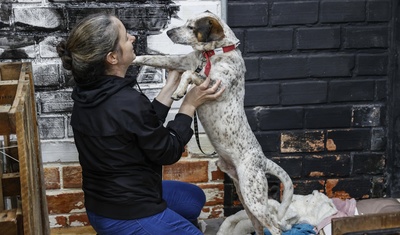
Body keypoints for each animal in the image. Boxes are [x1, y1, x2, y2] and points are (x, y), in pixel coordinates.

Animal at [134, 10, 294, 234]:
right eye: (186, 22)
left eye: (192, 27)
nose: (169, 32)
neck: (213, 54)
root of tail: (262, 160)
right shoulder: (181, 61)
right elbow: (153, 58)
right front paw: (130, 56)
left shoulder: (214, 85)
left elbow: (189, 74)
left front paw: (179, 91)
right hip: (246, 199)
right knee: (260, 226)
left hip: (254, 197)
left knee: (276, 226)